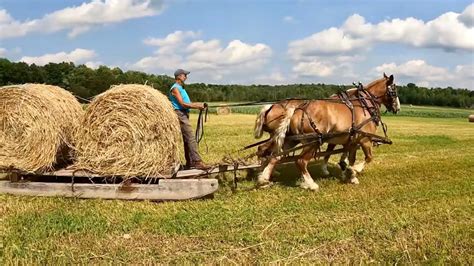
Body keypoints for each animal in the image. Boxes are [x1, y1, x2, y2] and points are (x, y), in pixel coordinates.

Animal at [258, 74, 398, 190]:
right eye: (394, 91)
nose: (397, 108)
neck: (364, 105)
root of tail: (296, 110)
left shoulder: (352, 141)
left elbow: (349, 158)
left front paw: (351, 175)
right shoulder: (365, 139)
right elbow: (368, 158)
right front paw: (353, 170)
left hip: (291, 139)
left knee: (275, 156)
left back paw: (264, 179)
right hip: (312, 142)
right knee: (300, 161)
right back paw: (311, 184)